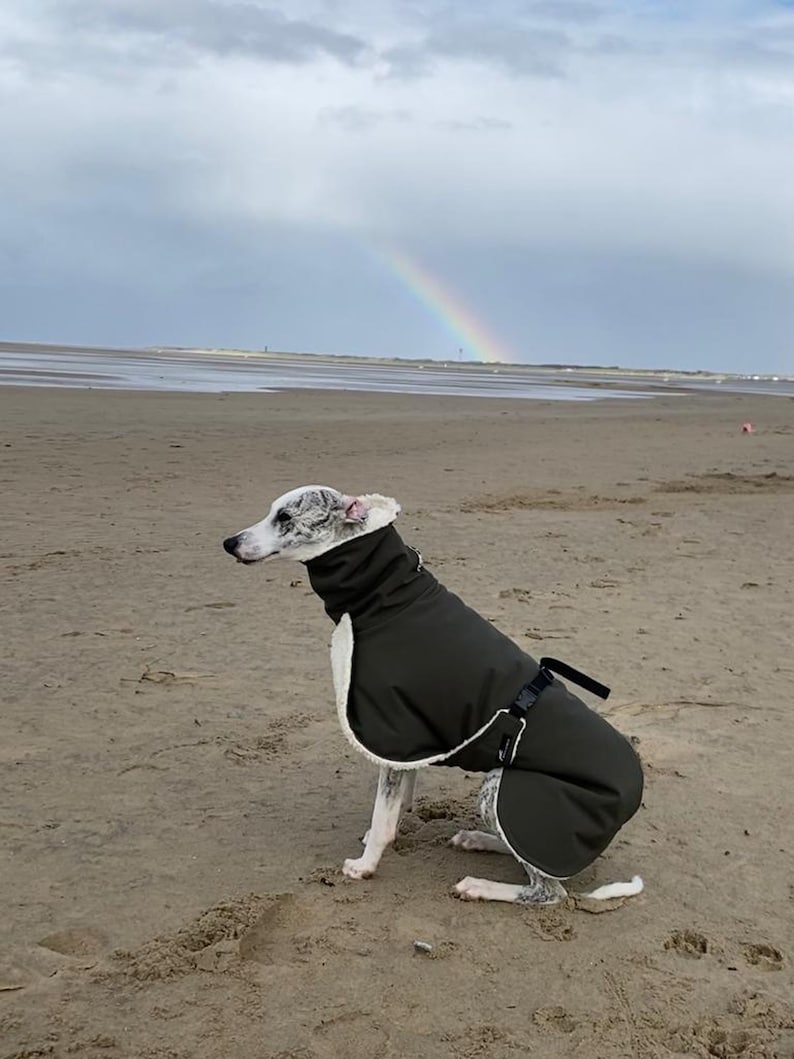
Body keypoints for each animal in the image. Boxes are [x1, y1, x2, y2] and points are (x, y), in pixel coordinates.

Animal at [224, 485, 647, 906]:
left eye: (285, 517)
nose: (229, 543)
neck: (386, 596)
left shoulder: (390, 727)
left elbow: (383, 816)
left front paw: (365, 865)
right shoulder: (407, 740)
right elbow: (397, 801)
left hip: (503, 788)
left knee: (547, 890)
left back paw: (480, 885)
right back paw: (478, 839)